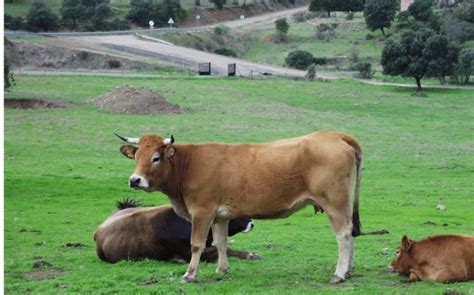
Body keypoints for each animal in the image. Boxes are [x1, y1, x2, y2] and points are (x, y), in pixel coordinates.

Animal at [116, 132, 362, 284]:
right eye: (136, 157)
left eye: (156, 158)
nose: (135, 180)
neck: (190, 164)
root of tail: (335, 135)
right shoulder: (219, 217)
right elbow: (221, 243)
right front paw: (221, 270)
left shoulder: (202, 213)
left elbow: (196, 245)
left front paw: (190, 275)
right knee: (351, 232)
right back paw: (349, 270)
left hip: (334, 202)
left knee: (343, 234)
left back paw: (339, 273)